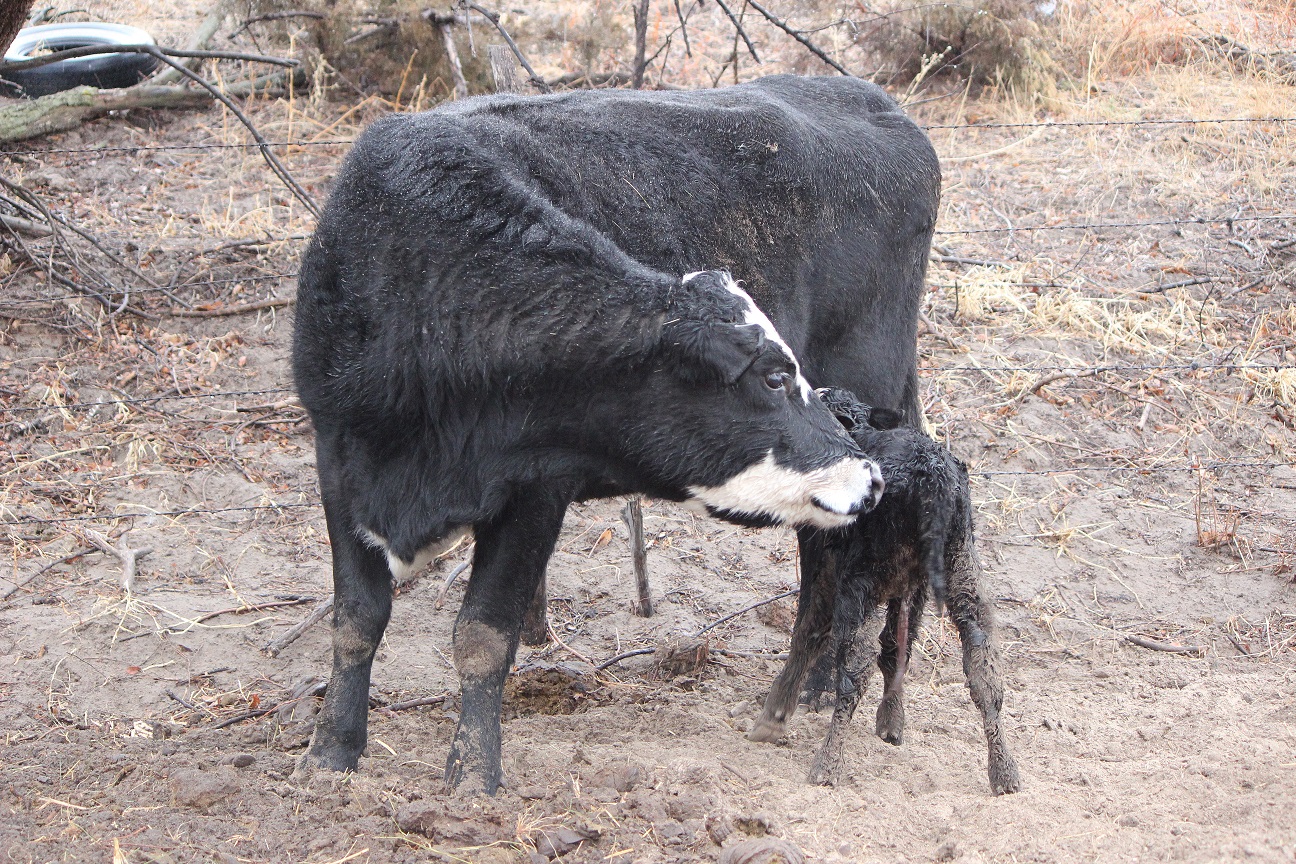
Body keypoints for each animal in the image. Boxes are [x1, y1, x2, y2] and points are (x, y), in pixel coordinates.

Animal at [291, 76, 943, 797]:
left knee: (830, 562)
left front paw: (471, 777)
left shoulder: (536, 486)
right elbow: (356, 620)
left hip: (869, 393)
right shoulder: (337, 460)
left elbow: (482, 637)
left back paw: (817, 687)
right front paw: (332, 750)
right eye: (775, 377)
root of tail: (875, 102)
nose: (868, 477)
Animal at [751, 388, 1021, 792]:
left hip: (862, 581)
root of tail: (931, 476)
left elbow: (808, 631)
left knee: (855, 667)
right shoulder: (913, 587)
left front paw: (774, 716)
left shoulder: (822, 557)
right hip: (962, 571)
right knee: (984, 668)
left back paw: (827, 765)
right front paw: (892, 723)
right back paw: (1004, 773)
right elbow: (898, 649)